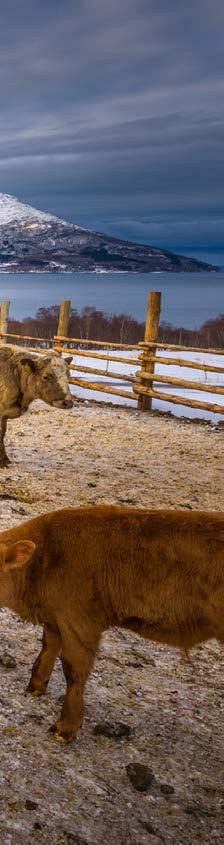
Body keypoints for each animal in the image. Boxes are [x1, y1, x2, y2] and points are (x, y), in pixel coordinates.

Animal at [0, 508, 222, 740]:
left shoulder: (79, 621)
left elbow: (73, 668)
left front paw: (65, 728)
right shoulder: (54, 617)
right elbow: (47, 649)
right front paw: (35, 688)